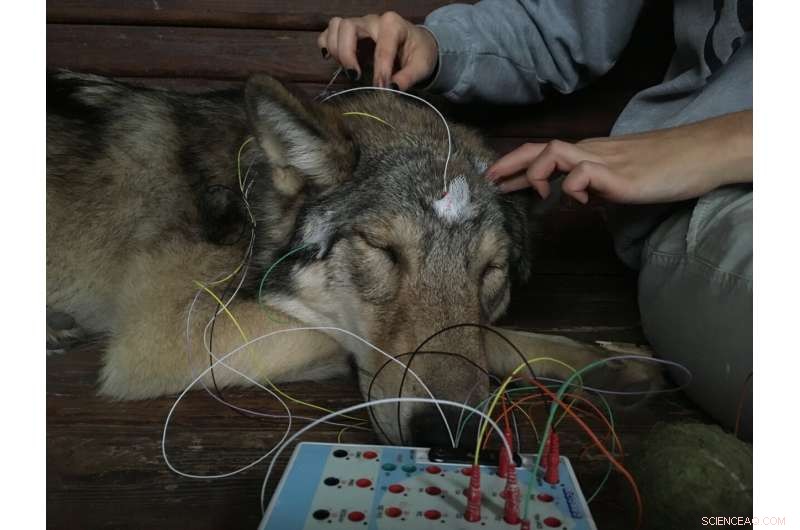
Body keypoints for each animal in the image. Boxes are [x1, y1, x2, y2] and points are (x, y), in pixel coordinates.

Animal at [46, 71, 657, 446]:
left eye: (490, 272)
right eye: (384, 251)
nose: (450, 435)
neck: (249, 202)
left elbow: (490, 335)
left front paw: (601, 362)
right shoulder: (160, 332)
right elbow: (342, 335)